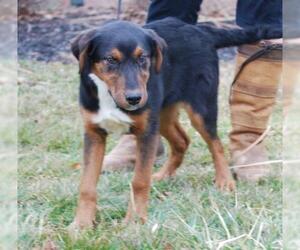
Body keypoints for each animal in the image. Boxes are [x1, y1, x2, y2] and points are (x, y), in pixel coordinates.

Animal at [69, 17, 282, 229]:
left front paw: (135, 221)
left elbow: (139, 181)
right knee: (182, 141)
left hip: (200, 107)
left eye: (143, 58)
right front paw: (82, 224)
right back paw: (163, 176)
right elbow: (87, 184)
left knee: (216, 144)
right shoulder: (94, 132)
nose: (135, 99)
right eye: (111, 59)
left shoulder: (146, 132)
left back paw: (225, 181)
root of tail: (200, 30)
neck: (108, 95)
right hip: (162, 114)